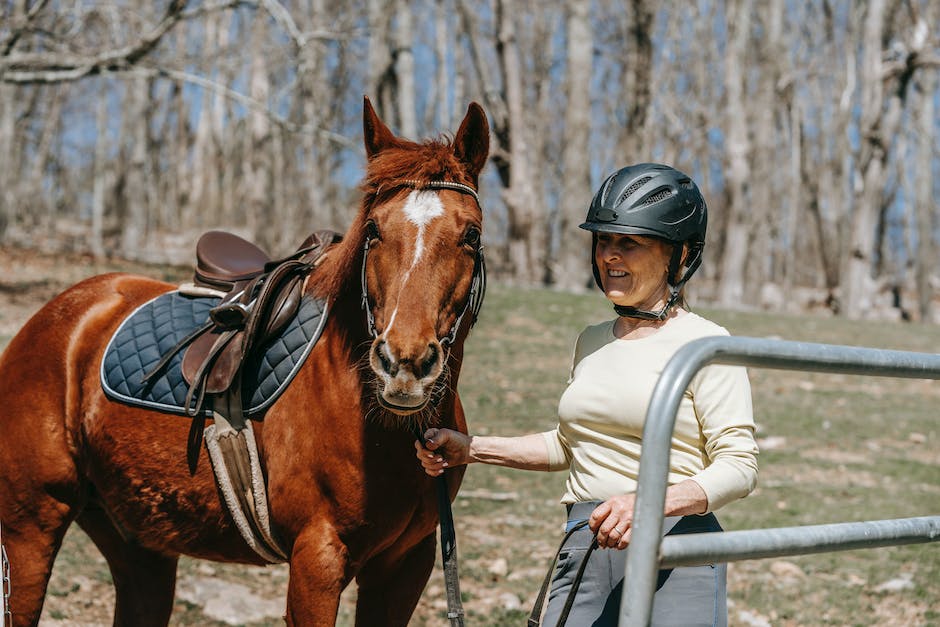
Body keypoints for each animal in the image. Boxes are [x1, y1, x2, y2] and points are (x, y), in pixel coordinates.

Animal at [1, 98, 492, 627]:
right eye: (375, 230)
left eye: (471, 235)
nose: (404, 363)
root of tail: (62, 312)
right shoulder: (317, 561)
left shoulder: (405, 566)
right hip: (30, 529)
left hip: (140, 545)